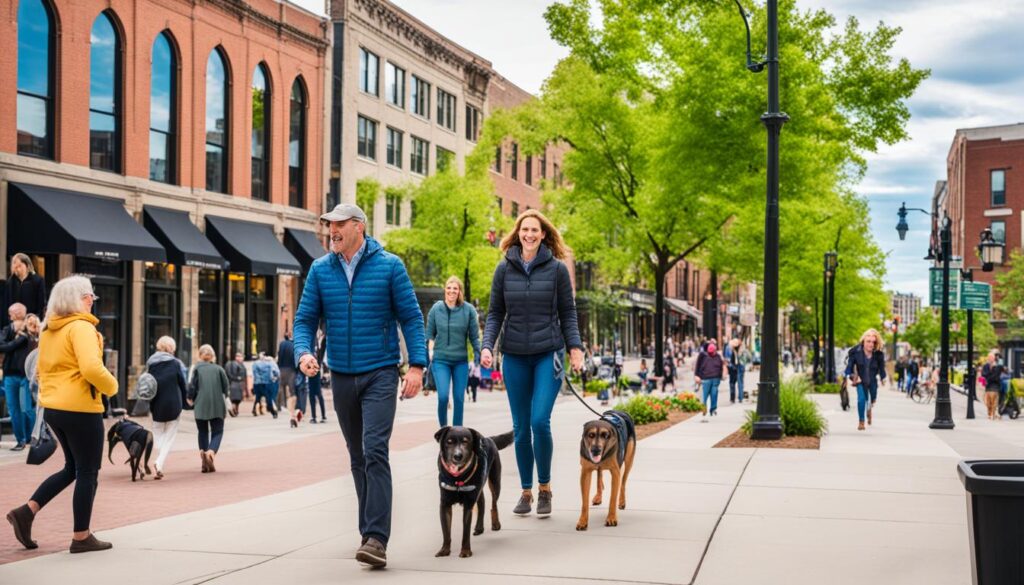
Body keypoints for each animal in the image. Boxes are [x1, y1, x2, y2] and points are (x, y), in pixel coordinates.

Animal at [434, 426, 516, 557]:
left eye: (466, 441)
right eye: (449, 442)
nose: (458, 456)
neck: (458, 477)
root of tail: (488, 439)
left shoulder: (468, 504)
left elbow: (465, 531)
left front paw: (465, 551)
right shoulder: (445, 504)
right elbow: (446, 531)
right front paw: (444, 550)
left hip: (495, 481)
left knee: (494, 503)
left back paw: (495, 523)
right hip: (479, 485)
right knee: (482, 502)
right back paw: (479, 527)